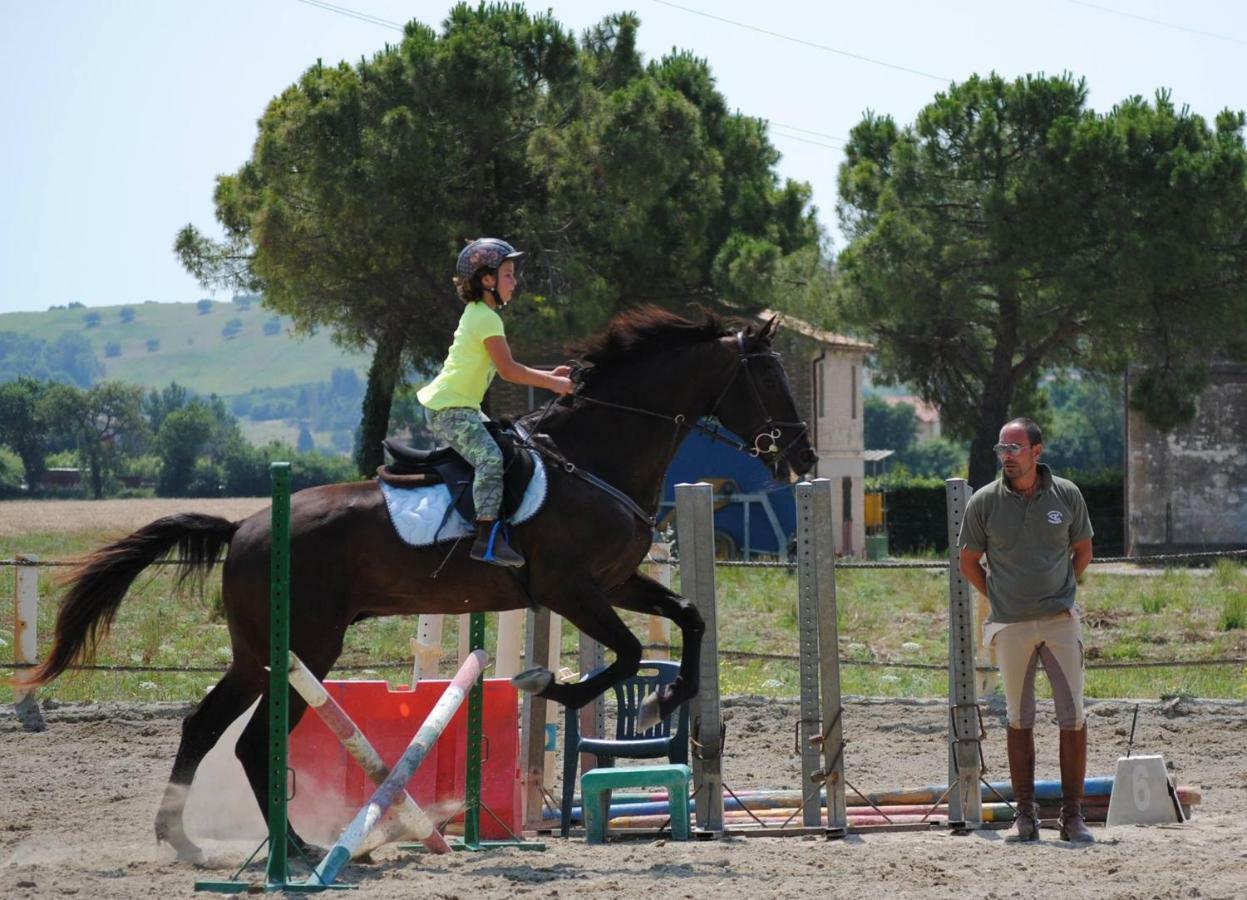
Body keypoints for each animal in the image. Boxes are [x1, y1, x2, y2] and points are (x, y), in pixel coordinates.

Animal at [26, 305, 818, 857]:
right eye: (767, 377)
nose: (801, 458)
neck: (598, 454)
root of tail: (245, 526)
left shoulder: (616, 582)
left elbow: (689, 618)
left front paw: (664, 700)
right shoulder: (571, 590)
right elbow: (622, 654)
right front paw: (551, 685)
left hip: (261, 655)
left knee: (208, 727)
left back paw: (199, 841)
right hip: (303, 650)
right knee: (248, 740)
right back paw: (291, 848)